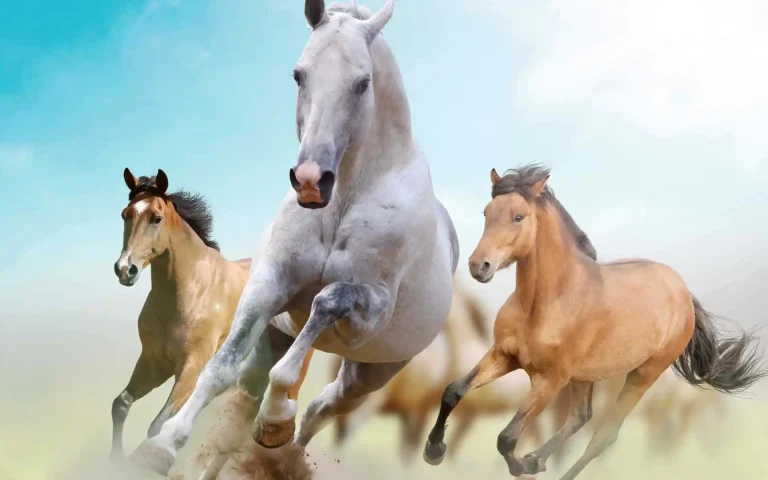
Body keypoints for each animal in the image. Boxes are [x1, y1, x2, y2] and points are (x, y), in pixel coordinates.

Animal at [110, 169, 314, 475]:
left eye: (156, 218)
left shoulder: (192, 367)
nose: (125, 269)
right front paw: (115, 461)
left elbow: (158, 424)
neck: (190, 291)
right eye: (126, 214)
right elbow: (121, 404)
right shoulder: (153, 363)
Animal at [423, 164, 765, 479]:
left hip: (642, 375)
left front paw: (521, 466)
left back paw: (542, 463)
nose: (478, 266)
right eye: (487, 212)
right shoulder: (504, 356)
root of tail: (682, 293)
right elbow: (453, 391)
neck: (545, 303)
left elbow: (506, 438)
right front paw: (434, 451)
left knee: (603, 436)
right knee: (581, 417)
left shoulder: (550, 379)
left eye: (518, 216)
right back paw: (537, 457)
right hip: (585, 375)